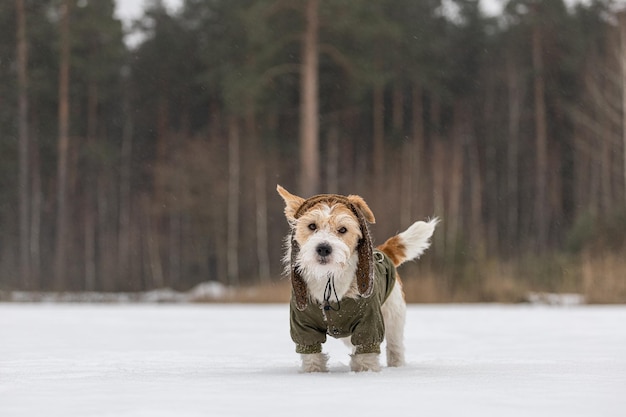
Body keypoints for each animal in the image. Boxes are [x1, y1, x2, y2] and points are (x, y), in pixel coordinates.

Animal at [276, 184, 436, 372]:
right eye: (312, 226)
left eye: (343, 229)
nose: (323, 248)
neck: (329, 278)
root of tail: (382, 251)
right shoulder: (302, 323)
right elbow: (311, 353)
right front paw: (313, 372)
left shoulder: (369, 321)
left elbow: (366, 351)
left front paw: (365, 372)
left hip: (393, 315)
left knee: (395, 346)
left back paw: (396, 366)